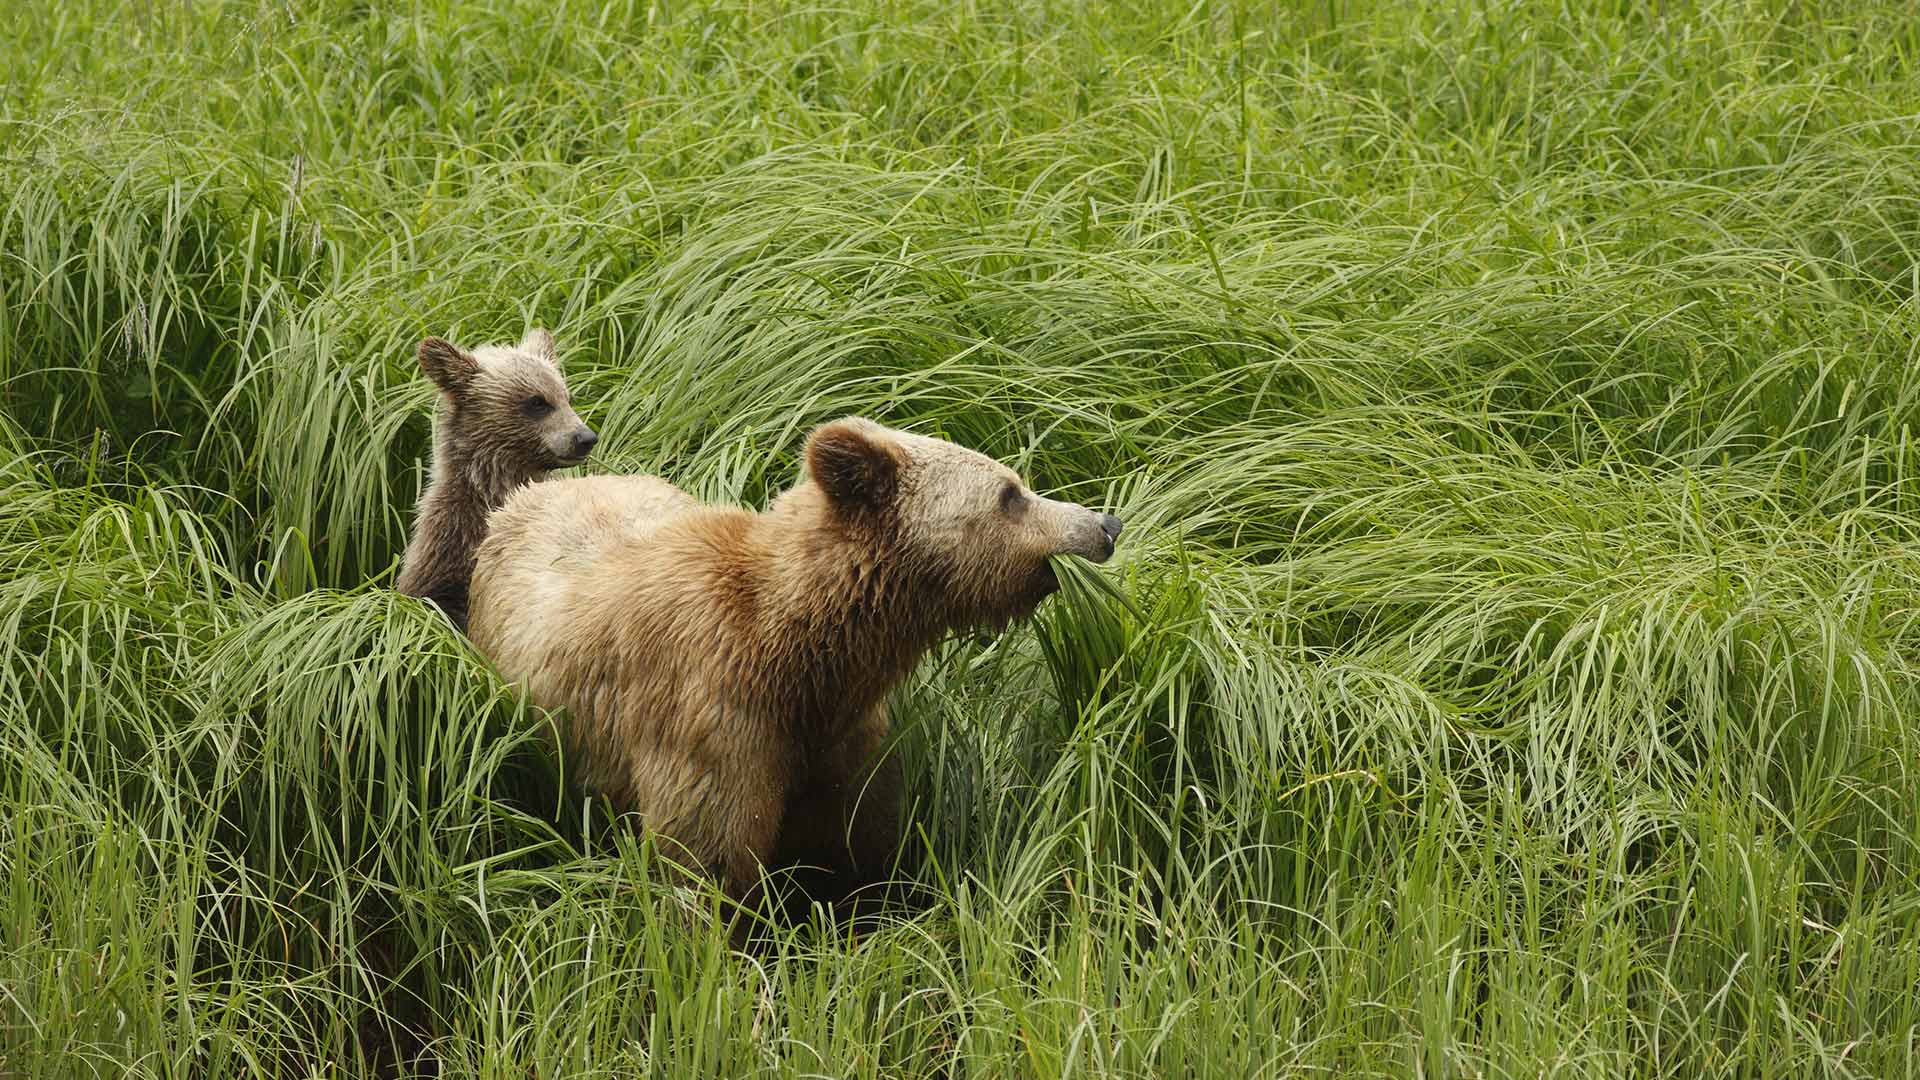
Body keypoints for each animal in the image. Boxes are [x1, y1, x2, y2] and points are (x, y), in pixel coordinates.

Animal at [465, 417, 1123, 917]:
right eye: (1010, 494)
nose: (1105, 524)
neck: (801, 655)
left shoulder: (841, 739)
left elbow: (856, 848)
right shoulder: (711, 718)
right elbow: (706, 860)